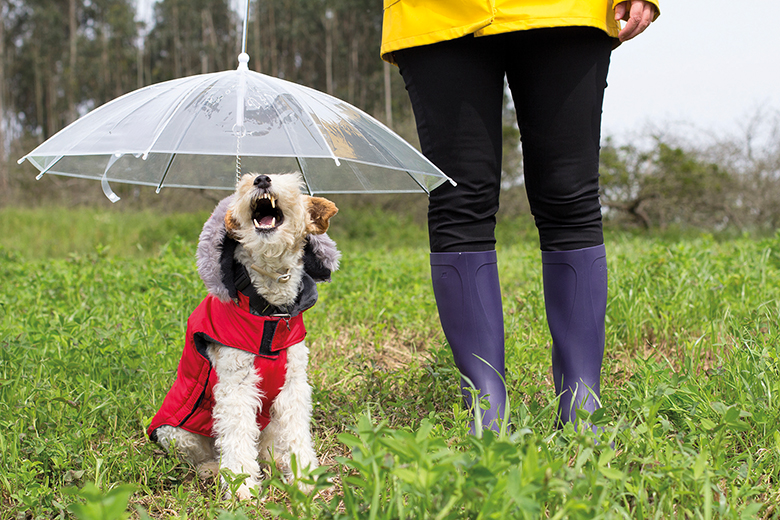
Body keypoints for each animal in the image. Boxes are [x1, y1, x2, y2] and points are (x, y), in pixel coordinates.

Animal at [149, 174, 338, 500]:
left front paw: (304, 480)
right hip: (176, 432)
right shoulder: (235, 387)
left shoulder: (294, 386)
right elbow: (237, 440)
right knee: (210, 452)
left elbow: (298, 435)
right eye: (245, 181)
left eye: (289, 181)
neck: (270, 313)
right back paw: (212, 470)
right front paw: (243, 489)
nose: (262, 179)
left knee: (266, 448)